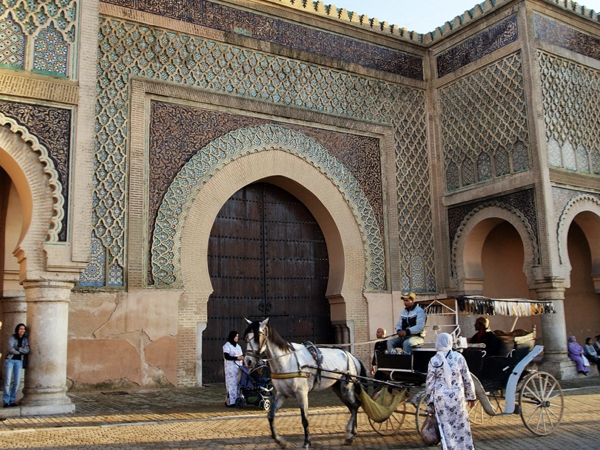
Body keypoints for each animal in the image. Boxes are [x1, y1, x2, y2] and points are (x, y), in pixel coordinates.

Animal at [241, 318, 364, 448]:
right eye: (246, 338)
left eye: (258, 337)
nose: (248, 361)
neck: (287, 360)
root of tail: (352, 357)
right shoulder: (281, 394)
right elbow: (271, 416)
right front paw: (280, 441)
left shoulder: (301, 393)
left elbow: (305, 419)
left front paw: (306, 442)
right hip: (338, 389)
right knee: (352, 407)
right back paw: (351, 434)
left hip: (347, 388)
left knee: (355, 405)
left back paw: (350, 434)